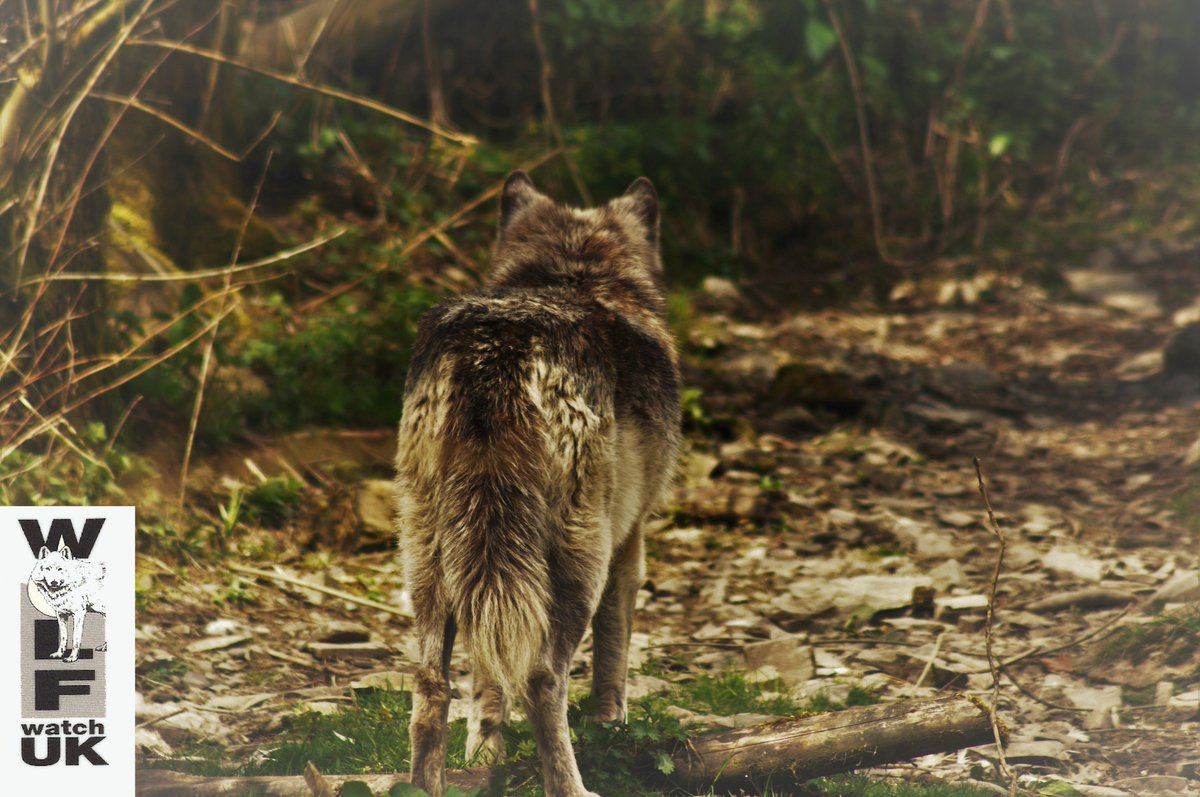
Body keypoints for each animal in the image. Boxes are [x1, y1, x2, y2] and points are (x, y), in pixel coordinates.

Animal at [394, 171, 681, 797]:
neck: (573, 270)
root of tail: (493, 348)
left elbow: (486, 678)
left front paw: (485, 751)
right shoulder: (630, 543)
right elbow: (614, 652)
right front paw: (611, 726)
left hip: (436, 558)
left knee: (432, 685)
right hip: (578, 558)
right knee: (543, 676)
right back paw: (573, 787)